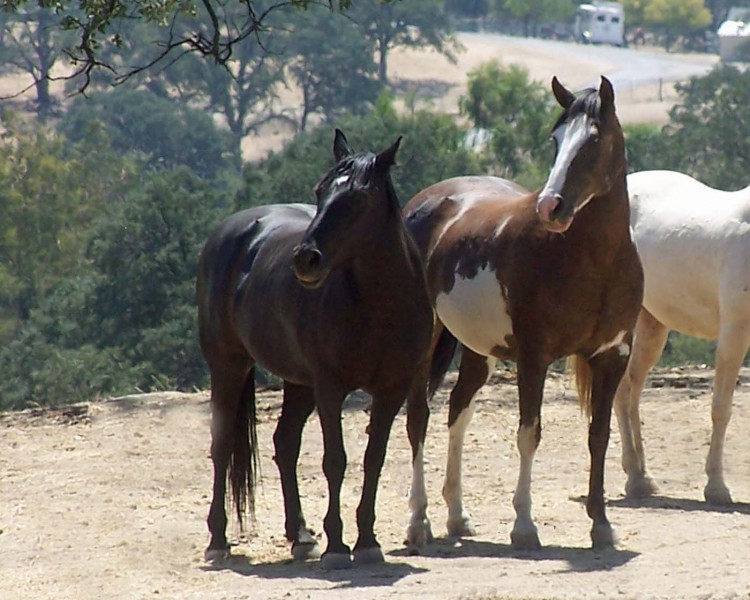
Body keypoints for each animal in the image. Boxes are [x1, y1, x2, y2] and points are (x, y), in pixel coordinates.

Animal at [196, 130, 434, 569]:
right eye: (320, 191)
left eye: (357, 199)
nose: (306, 259)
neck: (380, 306)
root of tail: (232, 230)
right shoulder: (330, 387)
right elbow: (335, 460)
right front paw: (338, 546)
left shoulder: (391, 390)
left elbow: (373, 459)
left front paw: (367, 541)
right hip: (228, 366)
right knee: (221, 446)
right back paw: (218, 540)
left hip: (298, 384)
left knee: (285, 444)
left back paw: (300, 535)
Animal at [402, 76, 643, 552]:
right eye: (555, 139)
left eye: (594, 139)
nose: (551, 207)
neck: (594, 262)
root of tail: (421, 204)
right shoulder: (535, 359)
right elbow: (529, 434)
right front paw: (524, 526)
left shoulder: (612, 356)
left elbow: (599, 435)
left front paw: (601, 524)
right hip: (427, 342)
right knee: (418, 417)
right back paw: (419, 521)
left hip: (479, 349)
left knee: (457, 411)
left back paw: (457, 517)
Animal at [614, 170, 750, 505]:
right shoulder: (734, 334)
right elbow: (721, 409)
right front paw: (716, 487)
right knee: (621, 391)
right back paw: (635, 480)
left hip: (652, 325)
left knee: (633, 391)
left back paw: (643, 476)